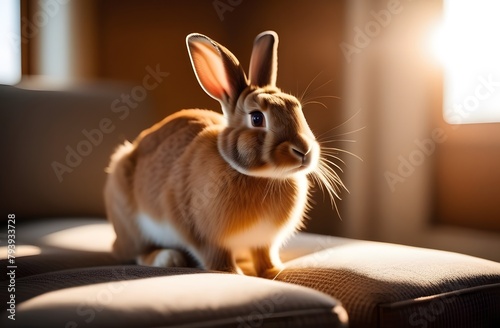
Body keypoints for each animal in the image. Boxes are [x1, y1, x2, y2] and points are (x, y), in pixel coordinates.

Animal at [104, 30, 346, 276]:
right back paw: (168, 258)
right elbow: (215, 256)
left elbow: (264, 255)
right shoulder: (201, 234)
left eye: (297, 107)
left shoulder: (264, 242)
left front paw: (273, 272)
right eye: (257, 118)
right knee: (139, 252)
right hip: (131, 223)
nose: (304, 150)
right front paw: (232, 273)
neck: (262, 176)